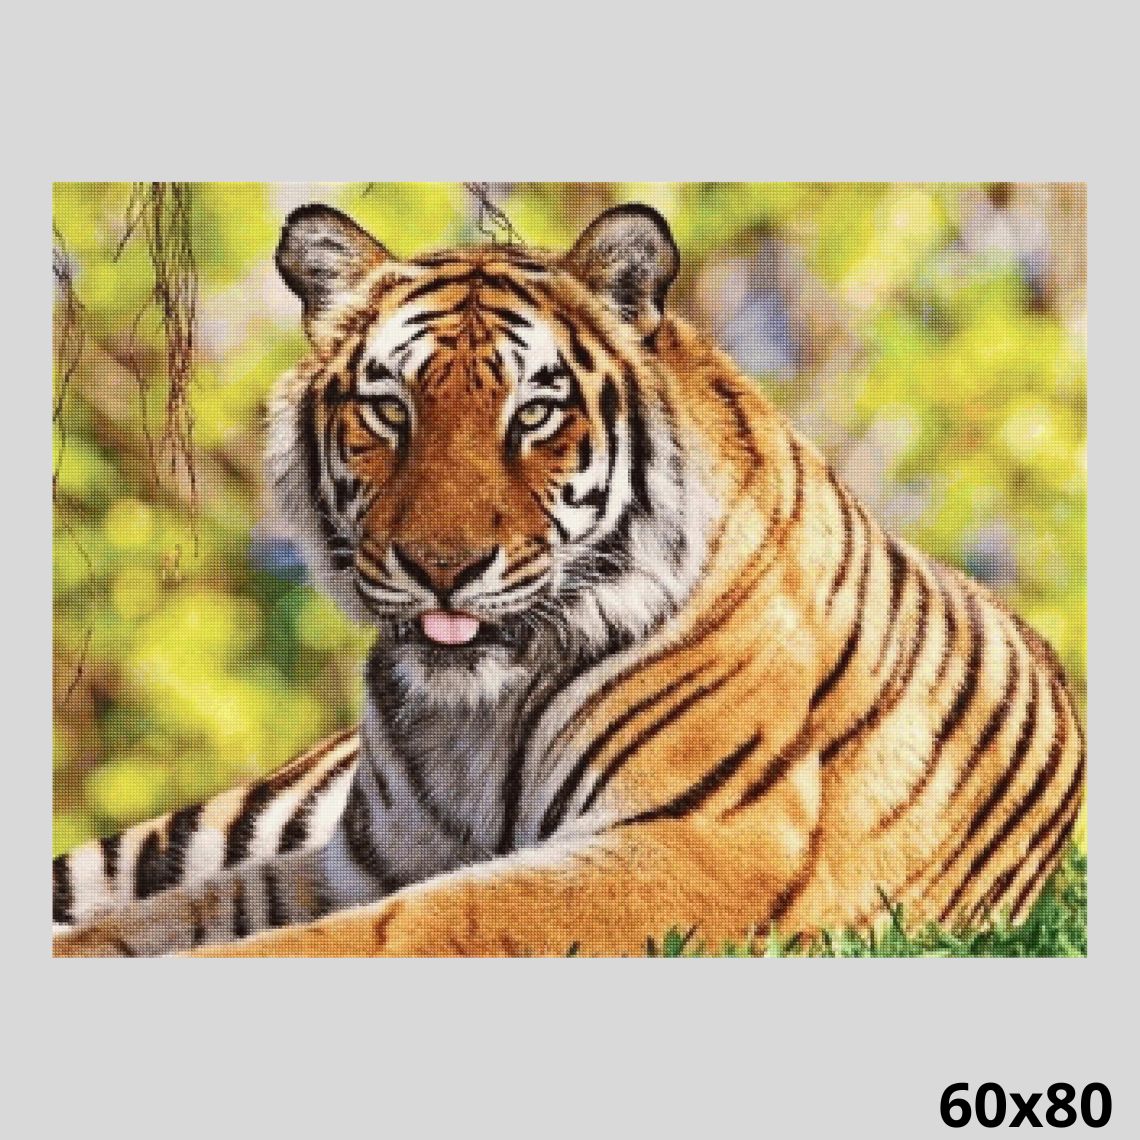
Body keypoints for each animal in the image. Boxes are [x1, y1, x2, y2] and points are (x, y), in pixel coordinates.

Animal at [52, 202, 1086, 957]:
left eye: (534, 414)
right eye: (390, 410)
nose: (442, 569)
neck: (470, 718)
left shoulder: (695, 846)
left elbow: (394, 929)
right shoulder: (357, 859)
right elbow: (153, 920)